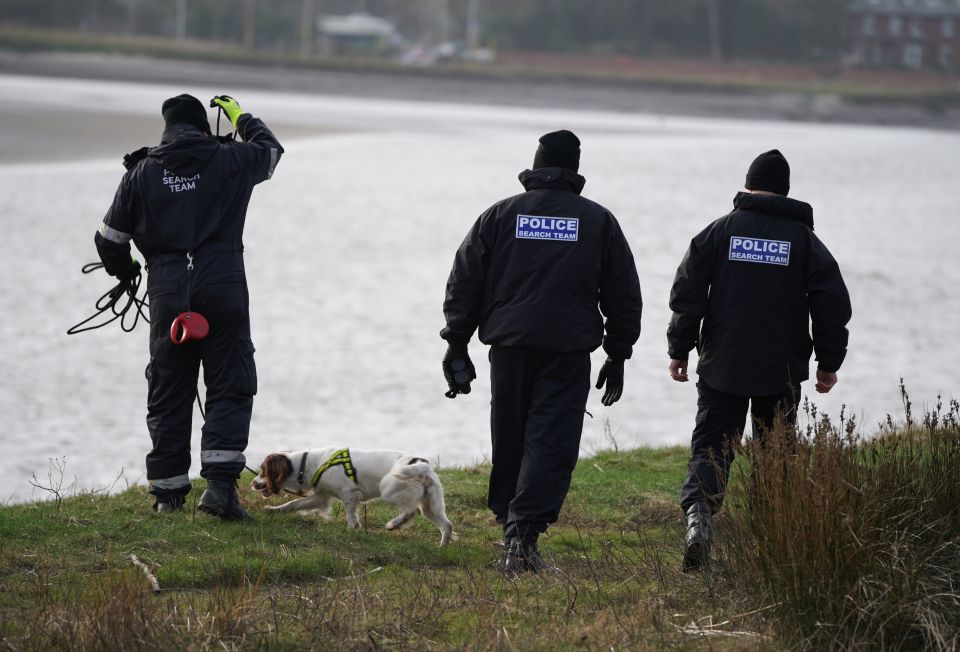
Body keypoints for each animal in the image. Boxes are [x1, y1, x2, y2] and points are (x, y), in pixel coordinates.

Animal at [249, 448, 456, 544]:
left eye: (262, 471)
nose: (252, 483)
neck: (305, 465)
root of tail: (420, 465)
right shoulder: (322, 496)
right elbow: (293, 503)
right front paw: (273, 510)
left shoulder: (349, 493)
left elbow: (350, 516)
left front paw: (351, 529)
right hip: (430, 506)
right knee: (447, 525)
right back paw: (442, 546)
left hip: (389, 489)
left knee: (409, 511)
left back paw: (393, 524)